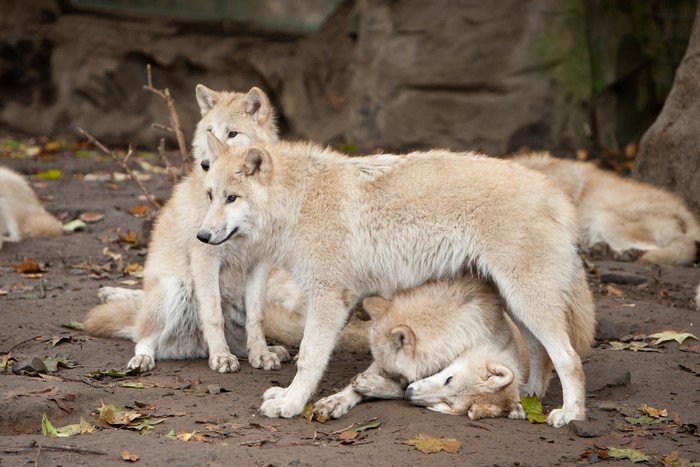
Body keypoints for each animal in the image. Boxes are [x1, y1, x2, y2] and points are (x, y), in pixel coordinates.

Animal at [312, 277, 535, 421]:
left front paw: (373, 385)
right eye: (448, 379)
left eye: (446, 404)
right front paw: (335, 400)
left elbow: (400, 389)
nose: (408, 388)